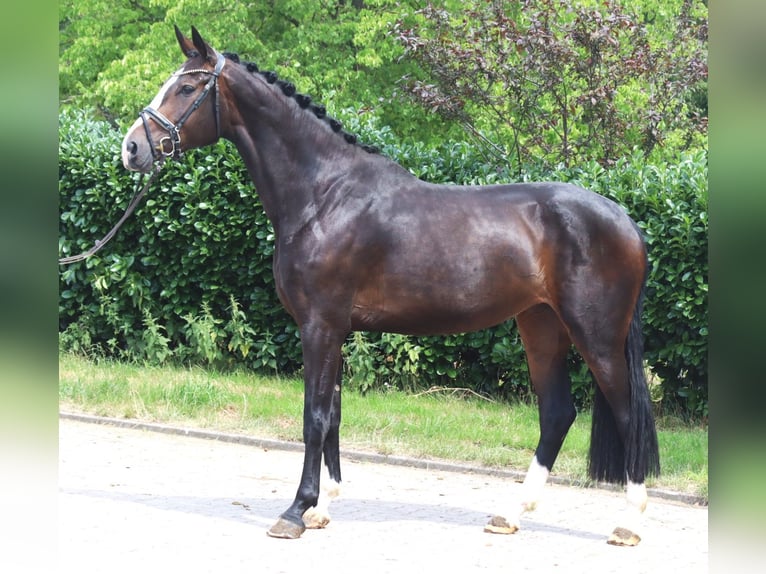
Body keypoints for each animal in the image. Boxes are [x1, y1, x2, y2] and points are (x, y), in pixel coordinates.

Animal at [122, 26, 660, 545]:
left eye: (187, 88)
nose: (132, 147)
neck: (324, 194)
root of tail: (626, 221)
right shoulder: (334, 330)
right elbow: (333, 415)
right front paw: (323, 508)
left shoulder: (319, 326)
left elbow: (313, 417)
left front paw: (296, 512)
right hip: (541, 325)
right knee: (557, 414)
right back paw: (511, 514)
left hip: (596, 335)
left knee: (627, 412)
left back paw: (629, 522)